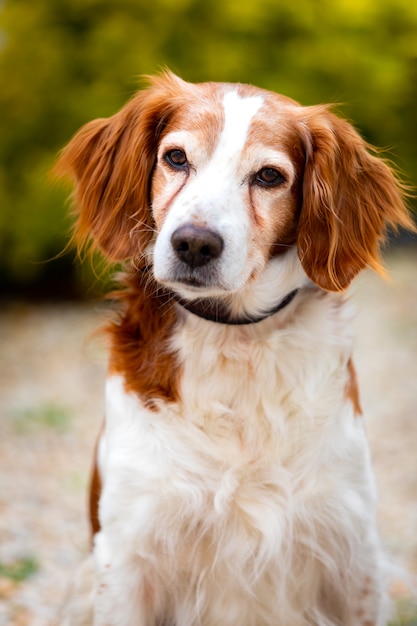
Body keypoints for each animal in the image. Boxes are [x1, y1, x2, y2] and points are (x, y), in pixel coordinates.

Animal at [57, 72, 412, 624]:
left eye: (268, 176)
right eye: (176, 158)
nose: (194, 244)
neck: (236, 341)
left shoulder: (351, 558)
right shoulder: (129, 557)